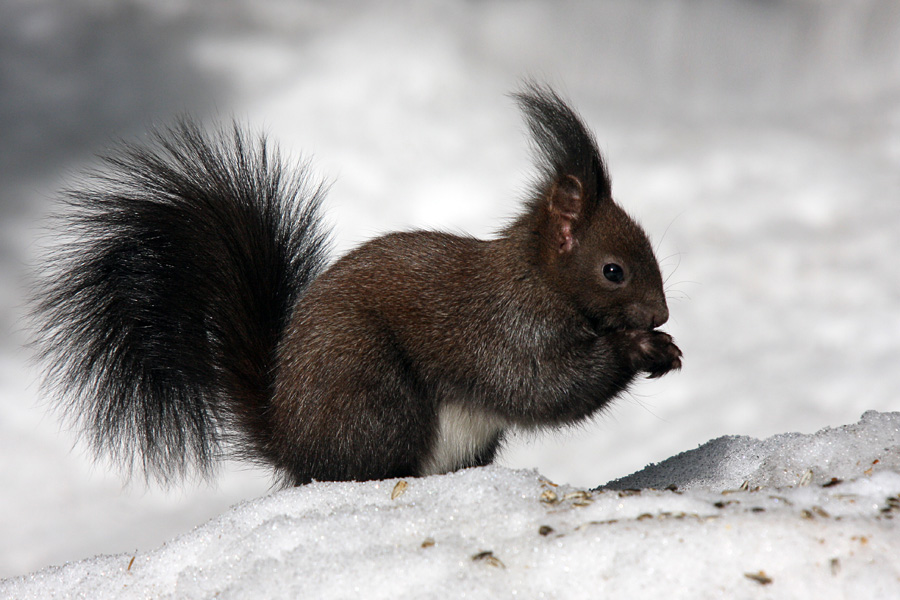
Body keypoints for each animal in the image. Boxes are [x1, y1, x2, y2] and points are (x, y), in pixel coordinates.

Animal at [33, 85, 684, 488]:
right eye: (614, 270)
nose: (659, 314)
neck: (536, 278)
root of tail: (292, 440)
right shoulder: (502, 329)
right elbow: (542, 387)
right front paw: (639, 348)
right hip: (371, 396)